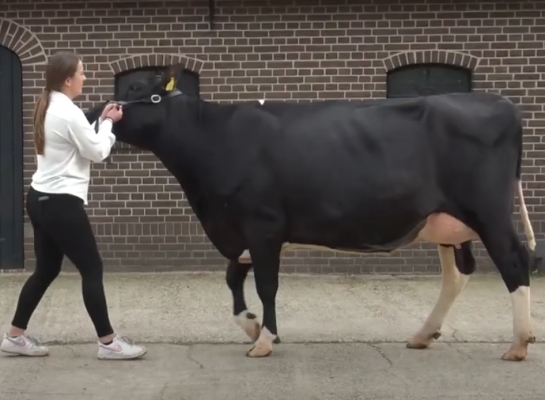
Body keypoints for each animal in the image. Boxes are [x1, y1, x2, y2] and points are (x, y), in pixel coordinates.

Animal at [86, 64, 536, 360]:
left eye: (136, 85)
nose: (93, 113)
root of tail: (502, 103)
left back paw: (518, 343)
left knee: (514, 262)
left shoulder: (263, 224)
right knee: (456, 275)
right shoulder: (240, 228)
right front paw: (250, 325)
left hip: (490, 211)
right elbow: (233, 277)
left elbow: (267, 285)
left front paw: (265, 339)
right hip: (446, 221)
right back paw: (423, 334)